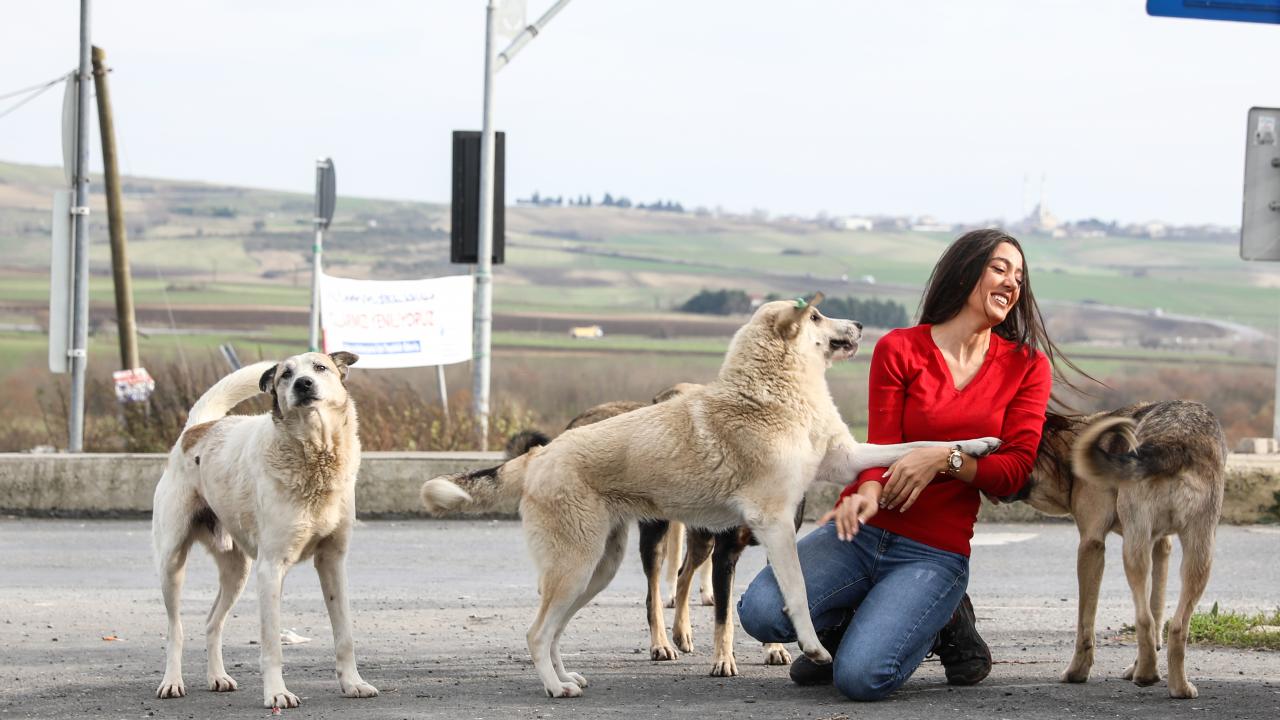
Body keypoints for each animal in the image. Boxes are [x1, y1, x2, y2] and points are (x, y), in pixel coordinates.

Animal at [150, 351, 376, 707]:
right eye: (286, 375)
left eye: (320, 367)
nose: (303, 384)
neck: (314, 454)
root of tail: (197, 428)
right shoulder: (271, 569)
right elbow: (271, 644)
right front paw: (277, 693)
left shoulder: (332, 562)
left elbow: (344, 634)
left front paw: (353, 683)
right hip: (172, 563)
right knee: (176, 629)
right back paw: (172, 682)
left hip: (237, 573)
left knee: (212, 622)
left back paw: (217, 677)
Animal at [419, 297, 998, 696]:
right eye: (815, 317)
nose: (858, 326)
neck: (774, 393)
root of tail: (539, 456)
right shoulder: (771, 524)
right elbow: (795, 593)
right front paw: (812, 647)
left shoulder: (847, 458)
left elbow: (918, 446)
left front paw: (977, 444)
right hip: (578, 567)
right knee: (538, 632)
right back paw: (556, 688)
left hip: (594, 571)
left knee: (553, 631)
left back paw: (566, 677)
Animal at [1013, 397, 1223, 696]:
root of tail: (1174, 441)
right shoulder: (1161, 545)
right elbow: (1156, 609)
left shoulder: (1091, 544)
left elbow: (1085, 622)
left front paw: (1077, 672)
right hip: (1195, 553)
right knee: (1173, 625)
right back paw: (1176, 685)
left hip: (1134, 548)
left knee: (1143, 619)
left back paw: (1146, 675)